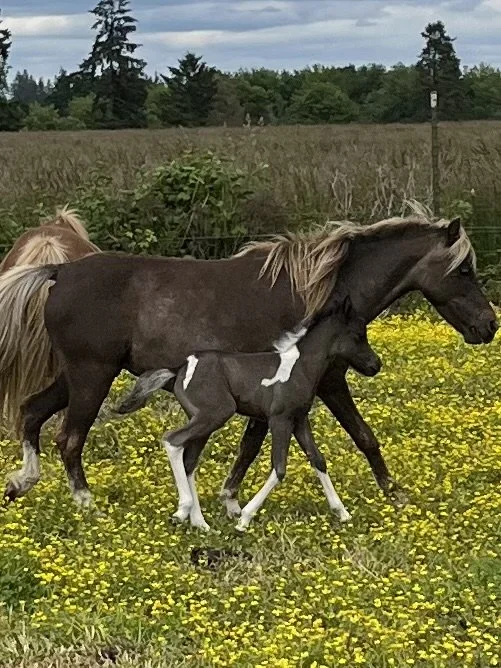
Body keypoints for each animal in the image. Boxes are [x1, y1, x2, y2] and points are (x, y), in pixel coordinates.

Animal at [115, 295, 381, 531]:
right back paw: (182, 511)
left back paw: (200, 523)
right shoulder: (279, 419)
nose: (375, 365)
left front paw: (342, 512)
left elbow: (318, 459)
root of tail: (179, 369)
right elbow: (279, 467)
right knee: (173, 441)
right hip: (216, 414)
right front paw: (244, 518)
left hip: (203, 420)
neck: (299, 366)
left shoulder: (299, 420)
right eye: (358, 335)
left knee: (189, 461)